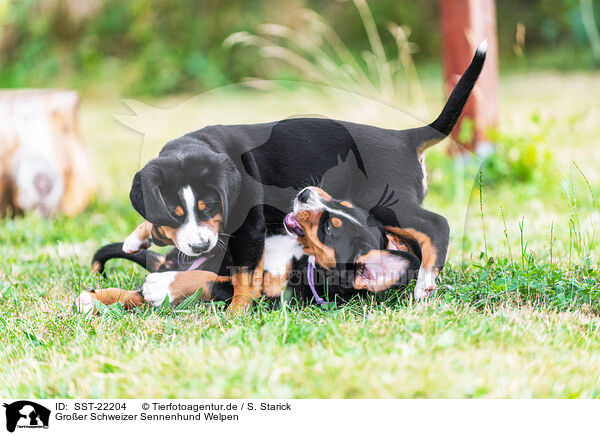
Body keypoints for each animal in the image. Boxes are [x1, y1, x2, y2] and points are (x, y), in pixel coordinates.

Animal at [75, 187, 420, 314]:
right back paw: (95, 296)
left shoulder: (260, 292)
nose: (306, 193)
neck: (300, 257)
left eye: (330, 228)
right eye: (341, 203)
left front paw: (166, 286)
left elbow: (209, 282)